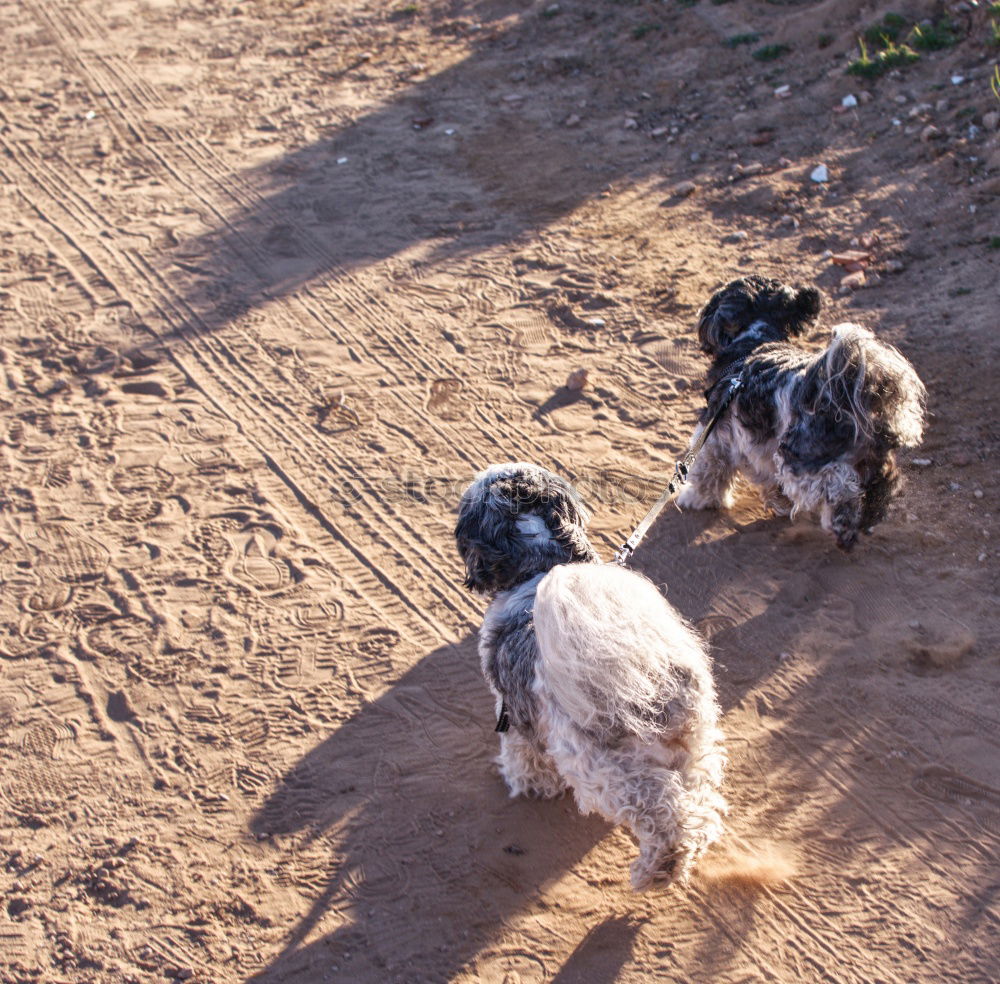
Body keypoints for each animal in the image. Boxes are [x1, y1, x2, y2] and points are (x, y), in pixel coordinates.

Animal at [456, 466, 728, 888]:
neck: (541, 567)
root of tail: (648, 681)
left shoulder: (512, 713)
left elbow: (523, 754)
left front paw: (530, 784)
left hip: (604, 769)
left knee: (660, 814)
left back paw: (656, 868)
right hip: (694, 745)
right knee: (697, 806)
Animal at [680, 276, 928, 548]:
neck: (755, 339)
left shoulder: (715, 432)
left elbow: (708, 469)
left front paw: (696, 498)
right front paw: (779, 502)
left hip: (799, 459)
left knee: (836, 484)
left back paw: (841, 521)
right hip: (871, 459)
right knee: (880, 484)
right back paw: (866, 517)